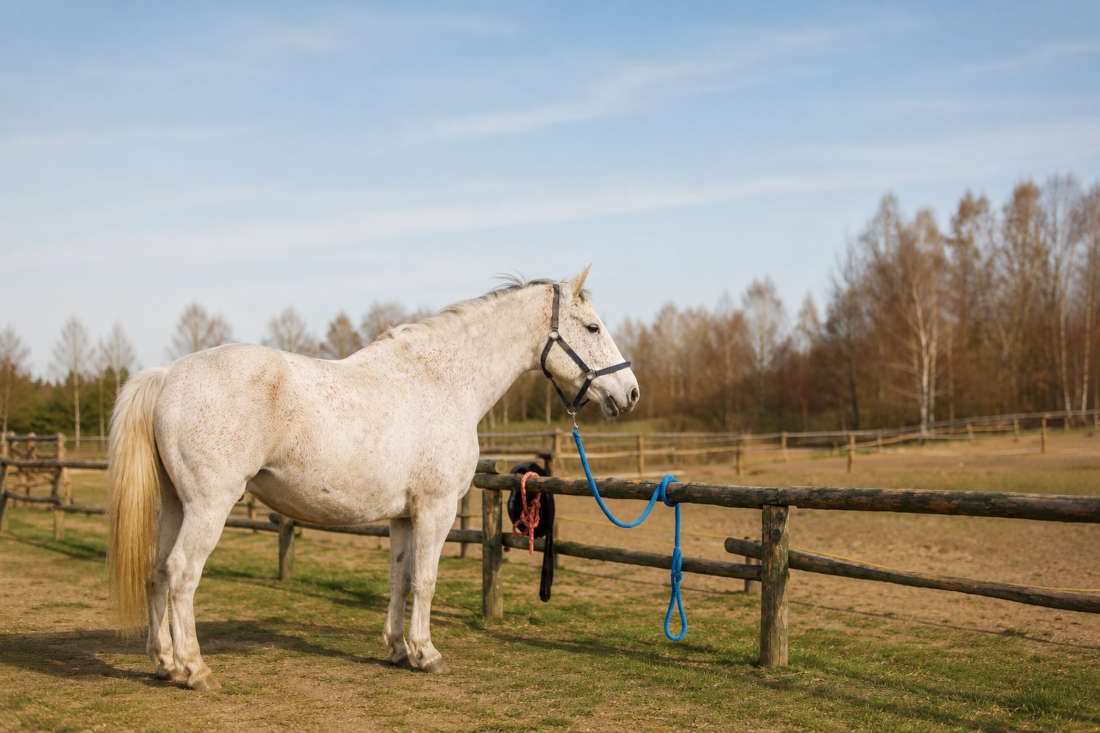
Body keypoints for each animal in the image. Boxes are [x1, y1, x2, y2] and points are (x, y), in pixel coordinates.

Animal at [107, 266, 639, 690]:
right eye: (592, 326)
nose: (630, 392)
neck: (442, 381)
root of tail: (168, 375)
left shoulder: (402, 516)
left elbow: (399, 579)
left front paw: (398, 650)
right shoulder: (436, 510)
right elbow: (426, 580)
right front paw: (427, 654)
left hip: (175, 505)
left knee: (157, 571)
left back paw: (164, 663)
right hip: (209, 506)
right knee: (182, 574)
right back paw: (195, 669)